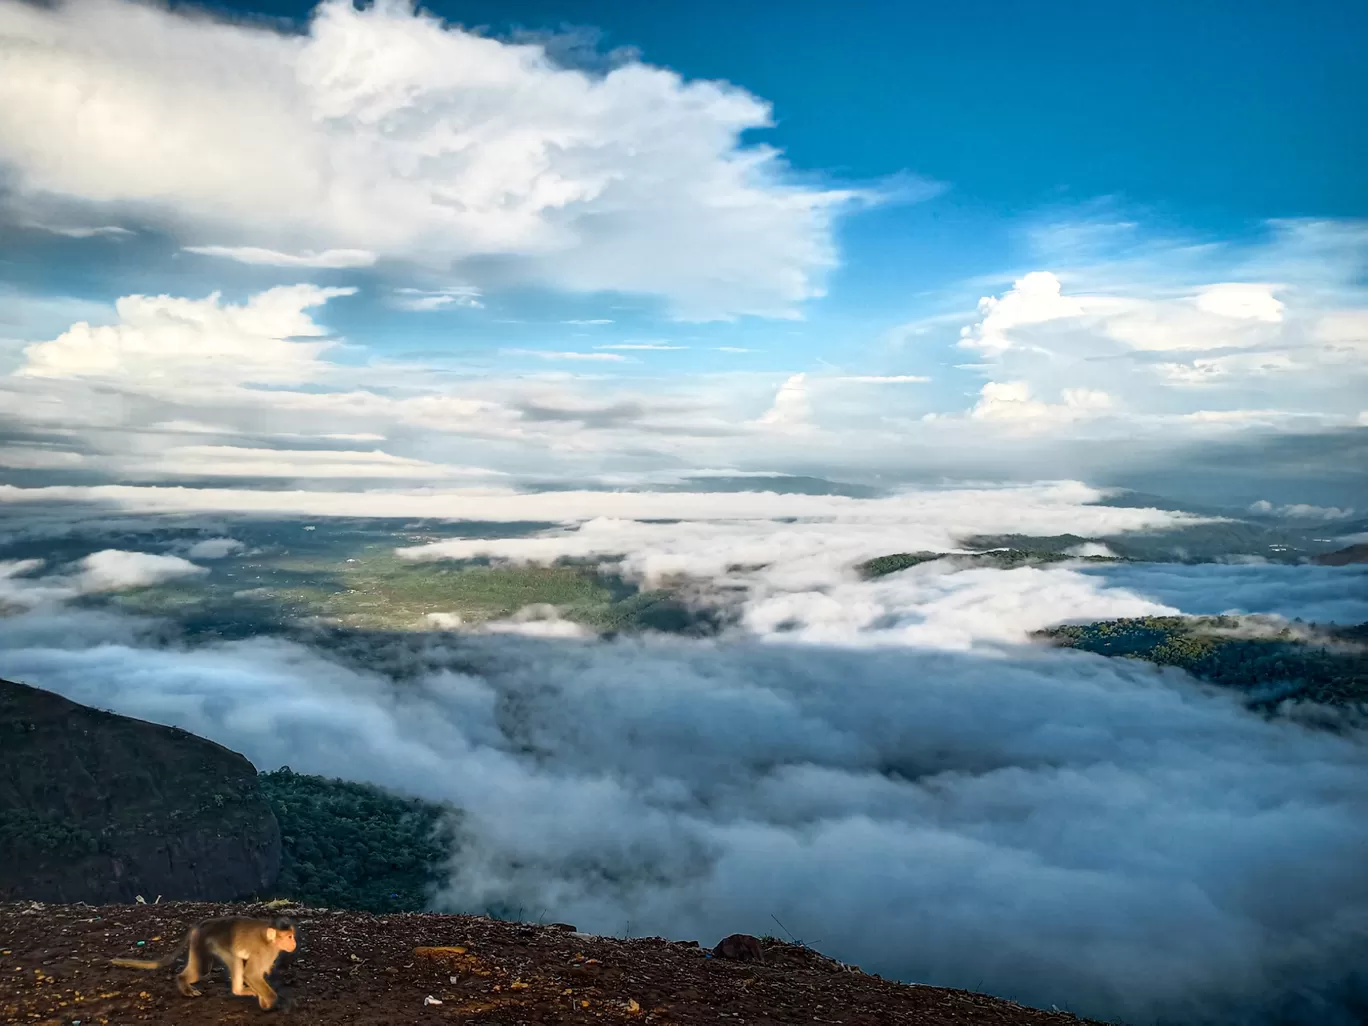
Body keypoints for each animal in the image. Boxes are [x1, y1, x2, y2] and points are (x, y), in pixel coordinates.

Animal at [111, 913, 296, 1012]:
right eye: (289, 937)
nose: (293, 943)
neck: (270, 940)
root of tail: (202, 924)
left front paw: (264, 999)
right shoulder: (264, 952)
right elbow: (251, 974)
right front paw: (270, 1002)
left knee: (234, 960)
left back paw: (239, 991)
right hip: (205, 941)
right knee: (204, 969)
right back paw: (184, 985)